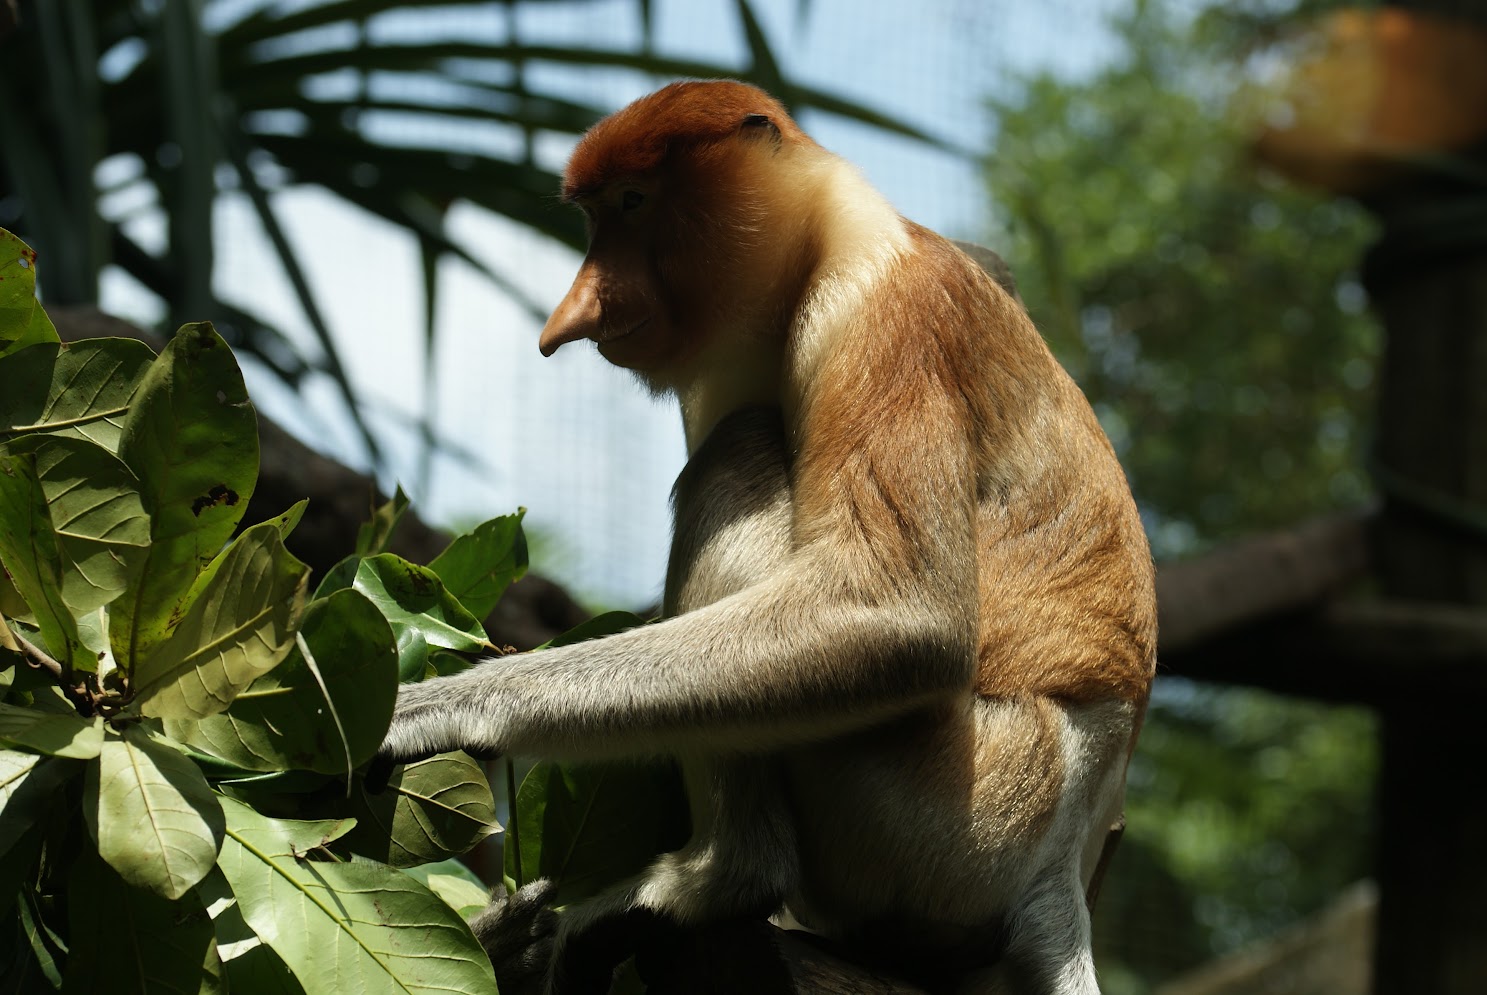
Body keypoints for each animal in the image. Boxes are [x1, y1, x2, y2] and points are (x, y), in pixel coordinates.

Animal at [377, 79, 1153, 993]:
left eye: (634, 203)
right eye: (592, 216)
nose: (578, 311)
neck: (817, 243)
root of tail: (1064, 865)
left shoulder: (882, 314)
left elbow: (900, 616)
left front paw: (433, 708)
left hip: (954, 808)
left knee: (741, 450)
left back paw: (718, 881)